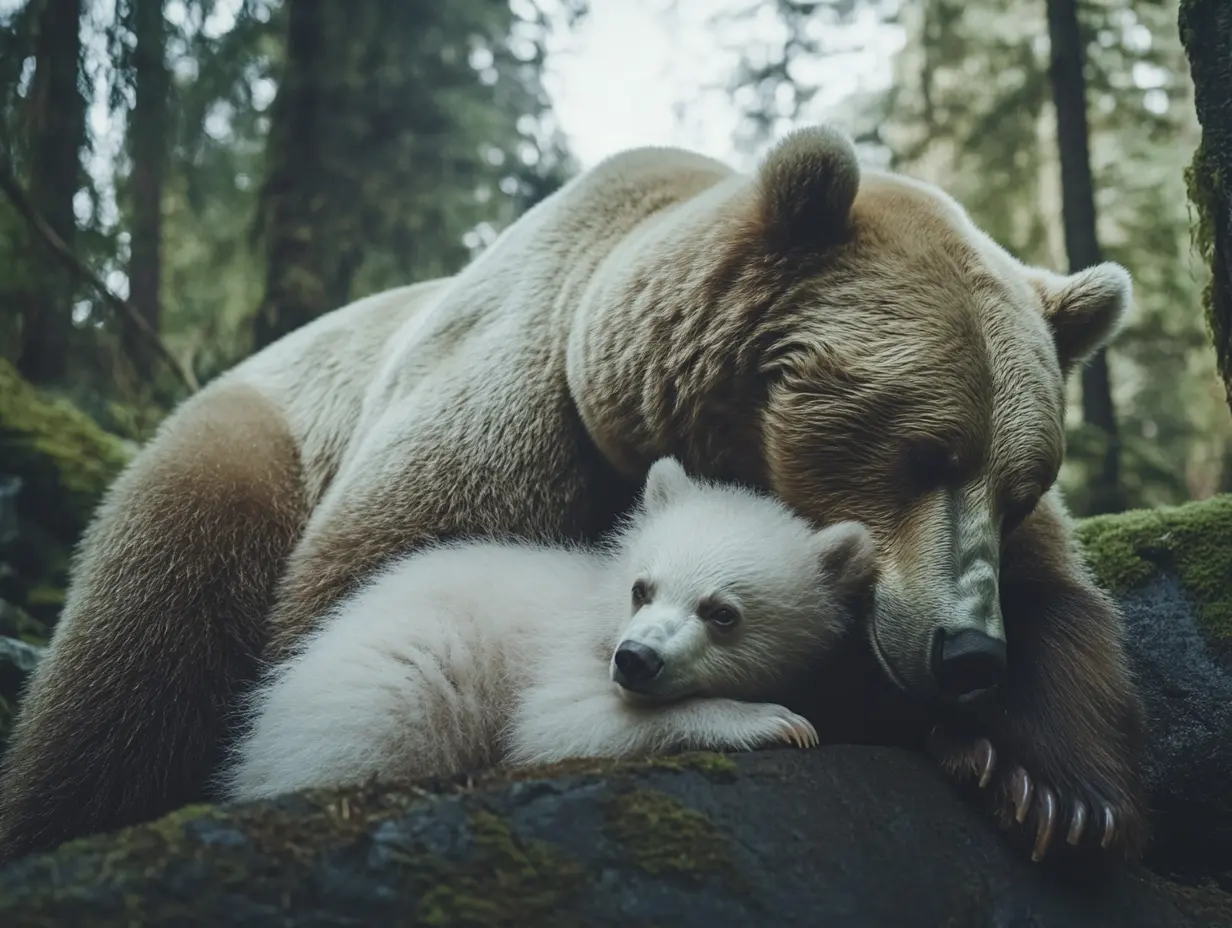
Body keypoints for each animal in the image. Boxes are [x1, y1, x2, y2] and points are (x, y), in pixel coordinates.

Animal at [220, 457, 876, 802]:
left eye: (722, 613)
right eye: (642, 588)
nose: (636, 658)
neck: (599, 599)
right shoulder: (565, 650)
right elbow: (553, 726)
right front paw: (773, 721)